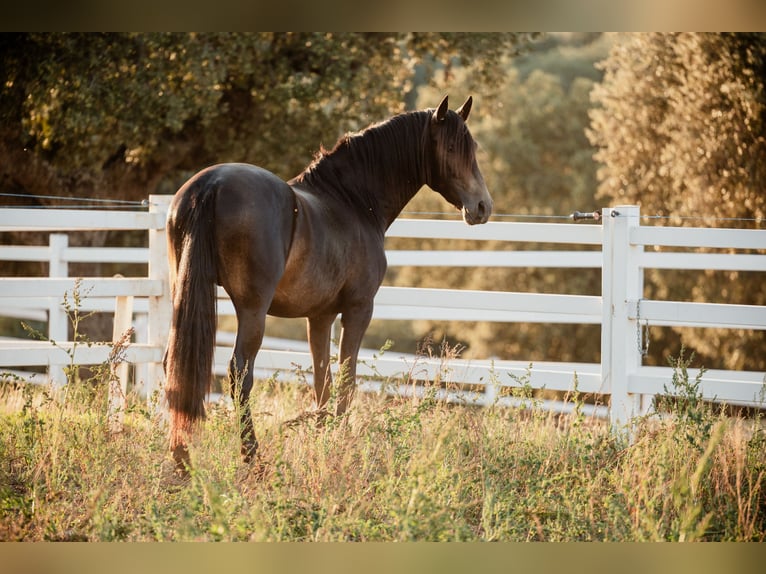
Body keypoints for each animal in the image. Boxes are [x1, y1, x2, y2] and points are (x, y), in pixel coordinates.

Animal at [165, 94, 496, 474]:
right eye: (453, 147)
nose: (482, 206)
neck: (351, 201)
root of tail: (213, 184)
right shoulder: (358, 309)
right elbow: (347, 379)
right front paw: (341, 443)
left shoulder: (319, 317)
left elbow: (322, 380)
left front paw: (322, 440)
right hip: (252, 311)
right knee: (239, 374)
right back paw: (251, 458)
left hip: (184, 298)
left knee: (174, 368)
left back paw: (180, 458)